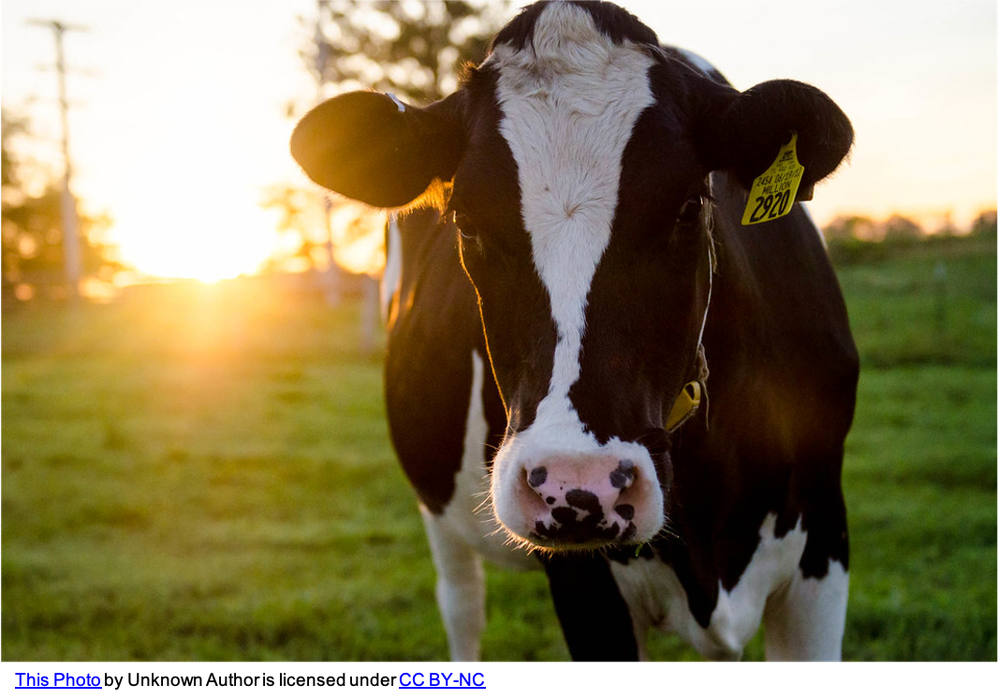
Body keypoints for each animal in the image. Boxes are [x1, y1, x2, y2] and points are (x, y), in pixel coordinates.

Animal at [292, 0, 858, 662]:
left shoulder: (824, 538)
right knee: (461, 604)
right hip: (438, 506)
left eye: (691, 204)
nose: (579, 484)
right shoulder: (584, 582)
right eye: (464, 220)